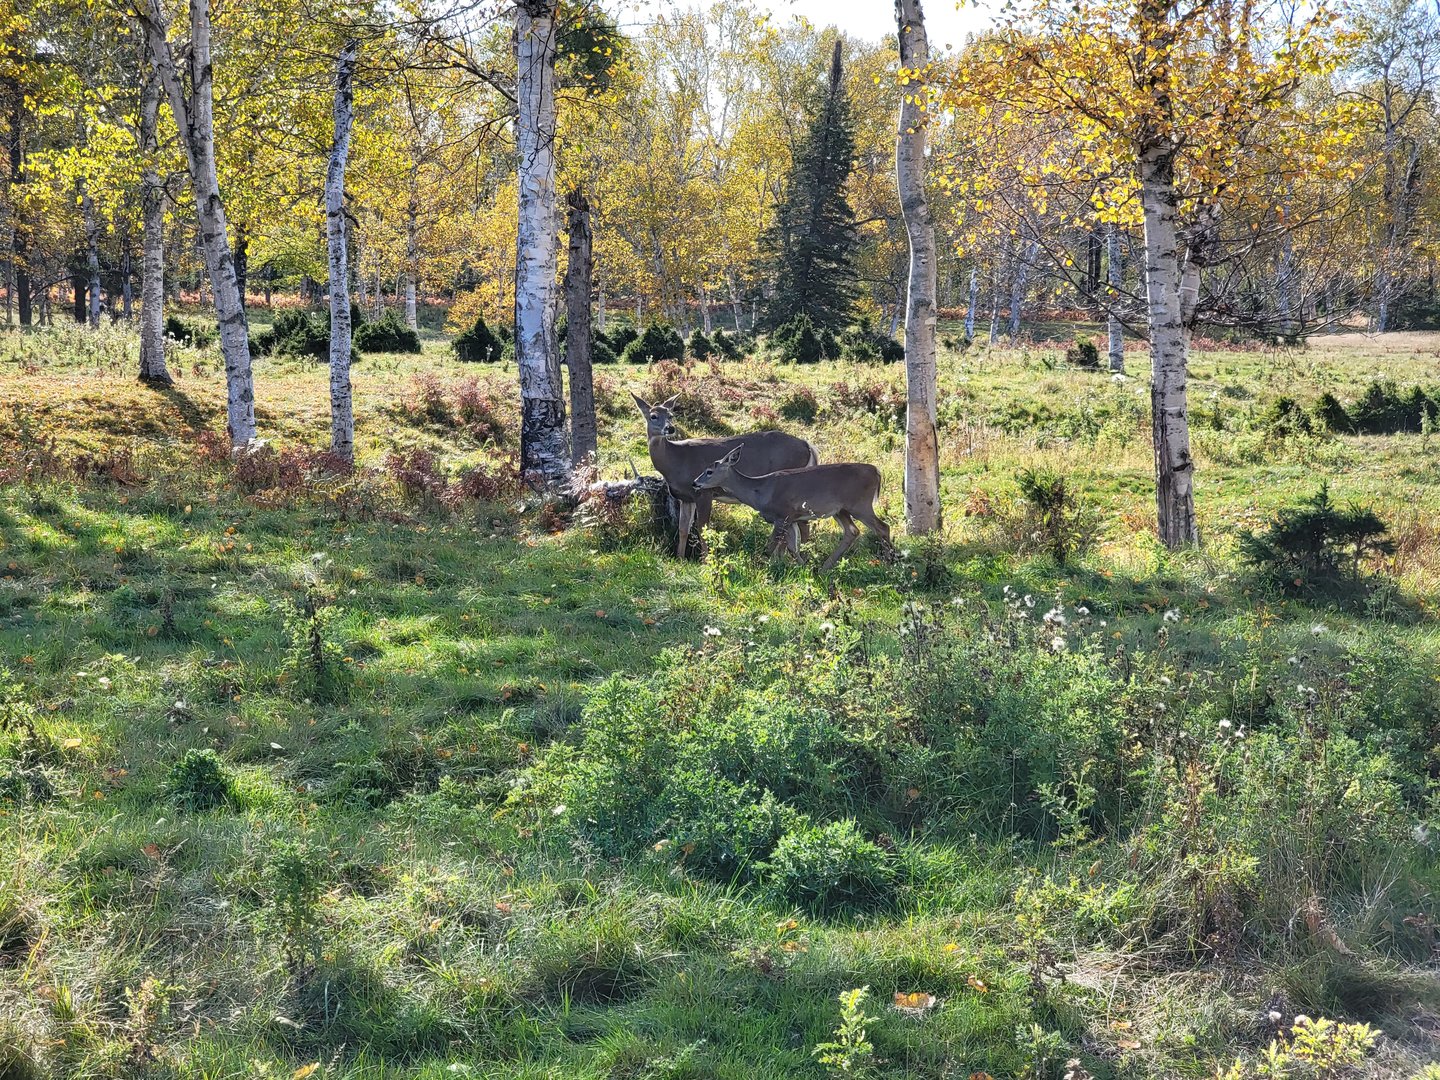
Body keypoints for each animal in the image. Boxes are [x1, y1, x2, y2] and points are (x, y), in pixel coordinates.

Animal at [632, 392, 816, 559]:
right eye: (653, 416)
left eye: (670, 415)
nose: (670, 428)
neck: (675, 460)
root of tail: (808, 445)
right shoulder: (685, 497)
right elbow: (683, 528)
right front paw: (680, 558)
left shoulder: (704, 492)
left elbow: (702, 529)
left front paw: (705, 560)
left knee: (796, 527)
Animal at [691, 445, 894, 572]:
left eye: (709, 471)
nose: (694, 483)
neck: (760, 491)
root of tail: (877, 472)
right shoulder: (791, 519)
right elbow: (791, 547)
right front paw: (801, 567)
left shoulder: (783, 515)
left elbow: (771, 546)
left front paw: (762, 567)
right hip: (841, 510)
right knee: (852, 531)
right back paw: (824, 568)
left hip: (860, 504)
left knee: (882, 527)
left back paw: (890, 563)